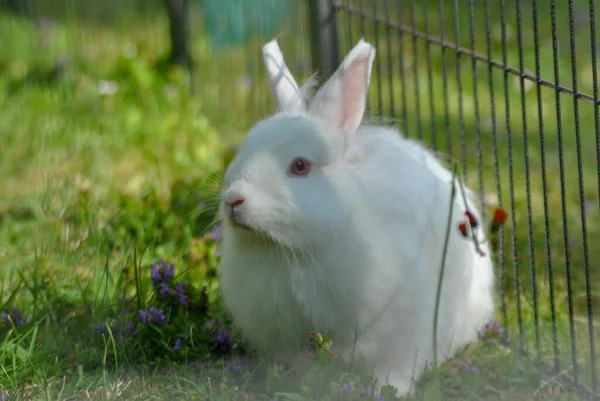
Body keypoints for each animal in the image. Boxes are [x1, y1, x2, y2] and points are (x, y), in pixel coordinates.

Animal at [218, 38, 494, 396]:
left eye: (300, 166)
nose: (234, 199)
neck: (292, 251)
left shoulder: (402, 334)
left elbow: (396, 370)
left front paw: (389, 392)